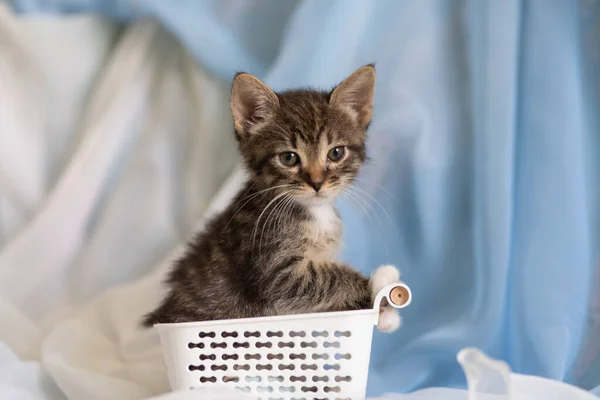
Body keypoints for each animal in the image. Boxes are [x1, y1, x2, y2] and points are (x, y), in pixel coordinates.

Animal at [142, 65, 404, 332]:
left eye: (336, 153)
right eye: (288, 158)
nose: (316, 182)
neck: (314, 212)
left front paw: (382, 308)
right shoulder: (274, 271)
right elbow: (328, 278)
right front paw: (379, 285)